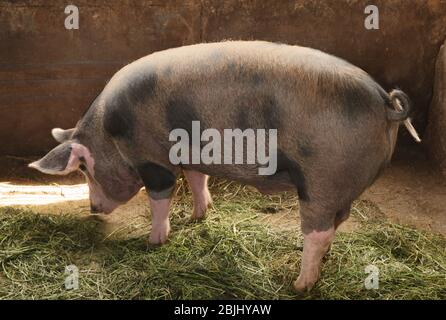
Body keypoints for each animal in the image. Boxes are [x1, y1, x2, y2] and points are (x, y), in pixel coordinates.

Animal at [29, 40, 416, 292]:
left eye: (82, 168)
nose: (93, 209)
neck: (112, 131)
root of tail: (384, 101)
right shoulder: (191, 152)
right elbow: (197, 179)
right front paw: (198, 216)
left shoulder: (153, 159)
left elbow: (161, 198)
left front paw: (154, 242)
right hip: (339, 185)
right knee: (337, 222)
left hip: (322, 178)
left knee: (317, 231)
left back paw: (298, 285)